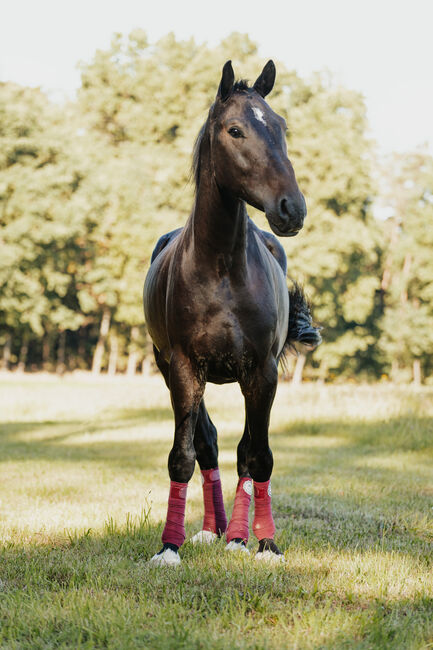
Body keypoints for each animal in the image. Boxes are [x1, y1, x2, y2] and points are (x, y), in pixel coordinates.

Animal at [143, 62, 318, 568]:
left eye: (280, 127)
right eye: (235, 130)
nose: (292, 209)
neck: (220, 266)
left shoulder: (261, 372)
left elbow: (258, 456)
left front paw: (266, 544)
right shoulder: (183, 368)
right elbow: (185, 454)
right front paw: (169, 546)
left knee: (242, 451)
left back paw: (236, 535)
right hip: (171, 369)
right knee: (209, 443)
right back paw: (211, 529)